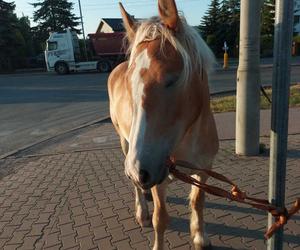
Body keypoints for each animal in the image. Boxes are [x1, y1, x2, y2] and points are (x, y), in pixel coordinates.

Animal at [107, 0, 218, 249]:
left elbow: (198, 202)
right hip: (127, 145)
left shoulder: (204, 169)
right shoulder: (158, 173)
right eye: (129, 83)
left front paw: (200, 237)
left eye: (173, 79)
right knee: (135, 185)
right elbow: (161, 219)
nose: (140, 170)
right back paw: (142, 210)